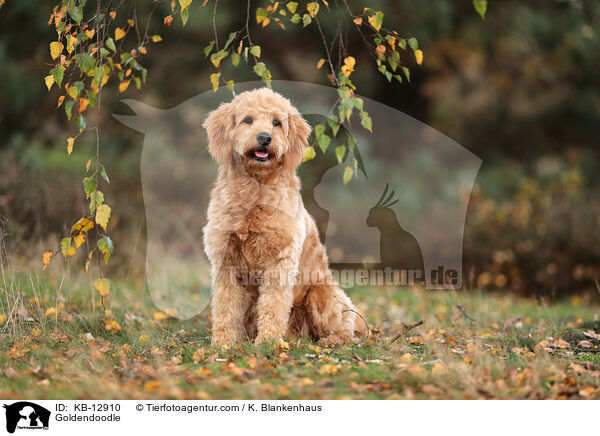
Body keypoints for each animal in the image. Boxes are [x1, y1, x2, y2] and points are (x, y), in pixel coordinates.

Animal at [203, 88, 360, 346]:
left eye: (276, 122)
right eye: (248, 120)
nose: (265, 138)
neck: (256, 188)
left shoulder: (280, 262)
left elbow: (273, 304)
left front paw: (267, 342)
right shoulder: (226, 262)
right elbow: (225, 307)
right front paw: (224, 343)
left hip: (323, 294)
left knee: (346, 326)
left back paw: (331, 340)